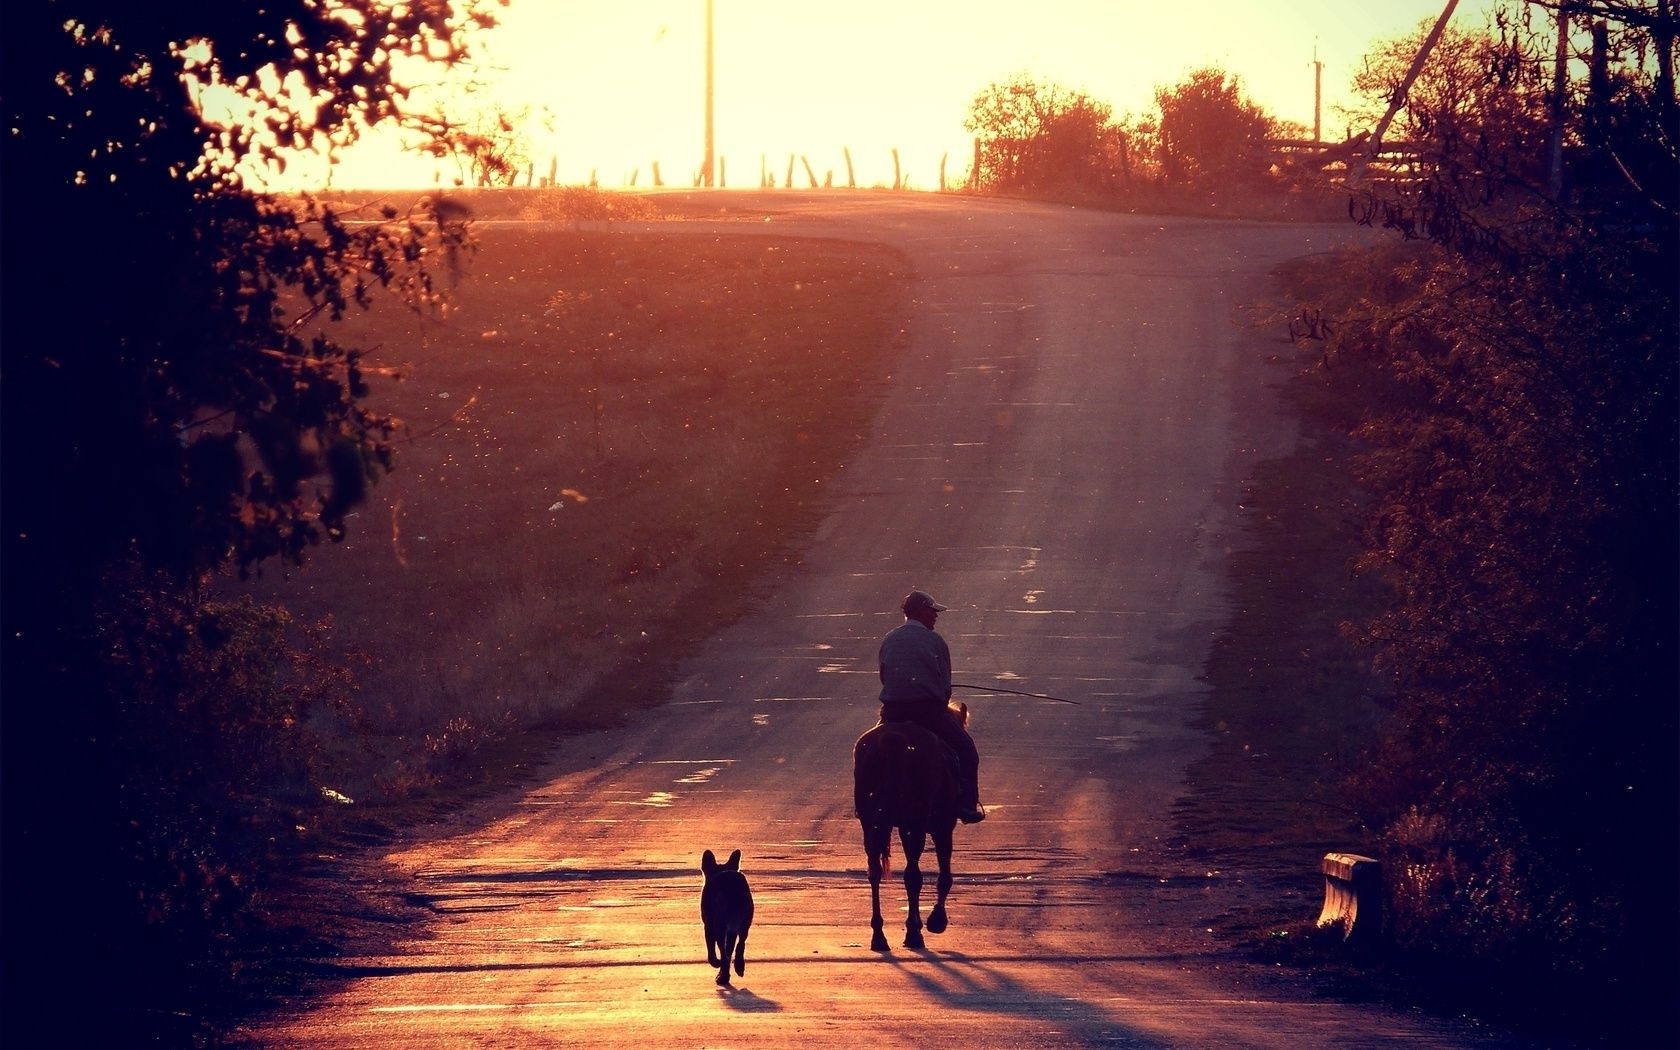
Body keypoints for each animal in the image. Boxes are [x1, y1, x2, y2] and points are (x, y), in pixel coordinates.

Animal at [695, 846, 756, 987]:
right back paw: (739, 966)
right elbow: (730, 949)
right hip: (744, 923)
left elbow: (711, 951)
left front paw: (717, 965)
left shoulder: (708, 926)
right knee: (740, 943)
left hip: (719, 926)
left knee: (723, 951)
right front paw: (724, 974)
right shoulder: (731, 930)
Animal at [853, 712, 960, 947]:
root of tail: (894, 738)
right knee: (912, 875)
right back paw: (913, 933)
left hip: (870, 821)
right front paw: (936, 920)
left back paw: (879, 935)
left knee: (874, 871)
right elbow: (944, 875)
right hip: (916, 822)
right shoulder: (943, 826)